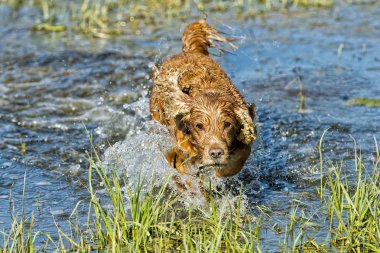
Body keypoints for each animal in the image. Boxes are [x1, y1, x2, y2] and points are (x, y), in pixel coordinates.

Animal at [150, 18, 256, 184]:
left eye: (227, 124)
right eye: (199, 126)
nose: (216, 153)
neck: (208, 89)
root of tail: (189, 52)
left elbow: (236, 160)